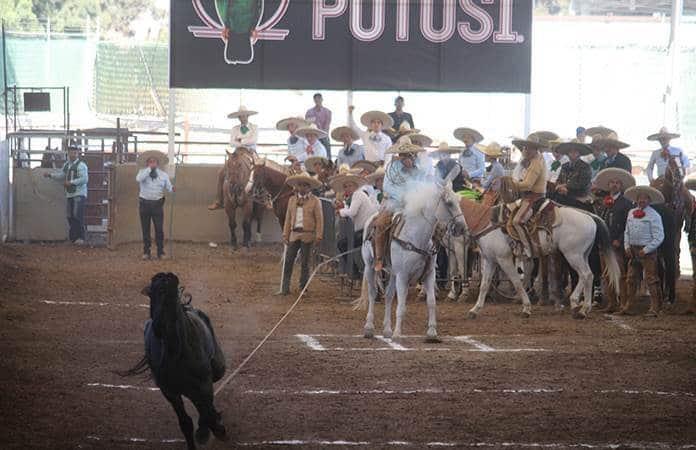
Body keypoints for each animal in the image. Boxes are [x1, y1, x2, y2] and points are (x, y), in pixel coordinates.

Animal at [121, 272, 227, 448]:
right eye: (153, 295)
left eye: (172, 296)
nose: (160, 325)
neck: (176, 355)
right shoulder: (170, 392)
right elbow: (186, 423)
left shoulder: (203, 385)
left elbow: (206, 412)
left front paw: (214, 430)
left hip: (217, 369)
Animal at [358, 171, 468, 342]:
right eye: (449, 203)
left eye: (458, 200)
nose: (462, 228)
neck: (416, 236)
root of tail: (372, 218)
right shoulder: (403, 276)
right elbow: (402, 306)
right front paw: (398, 334)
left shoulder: (429, 274)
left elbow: (431, 302)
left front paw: (432, 333)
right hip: (370, 266)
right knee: (372, 293)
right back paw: (369, 328)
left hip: (393, 273)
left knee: (388, 296)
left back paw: (387, 330)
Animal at [456, 199, 620, 318]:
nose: (457, 228)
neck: (487, 224)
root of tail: (590, 216)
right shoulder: (490, 260)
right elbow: (484, 285)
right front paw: (474, 310)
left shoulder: (504, 259)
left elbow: (517, 282)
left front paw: (526, 308)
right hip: (582, 254)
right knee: (586, 276)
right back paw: (576, 304)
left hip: (573, 255)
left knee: (586, 275)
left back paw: (583, 310)